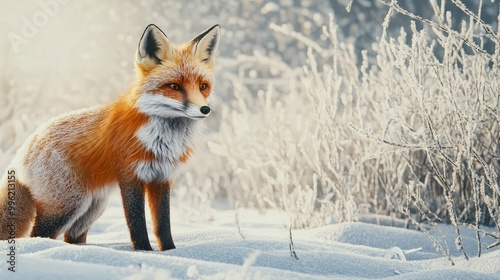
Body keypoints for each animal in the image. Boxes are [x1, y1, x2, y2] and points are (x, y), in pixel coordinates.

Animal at [0, 24, 221, 252]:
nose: (205, 109)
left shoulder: (162, 177)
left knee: (73, 236)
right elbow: (137, 222)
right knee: (39, 234)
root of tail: (24, 148)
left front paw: (170, 252)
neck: (162, 140)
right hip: (69, 204)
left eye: (203, 86)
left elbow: (163, 224)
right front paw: (144, 251)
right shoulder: (130, 175)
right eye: (174, 86)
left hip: (92, 207)